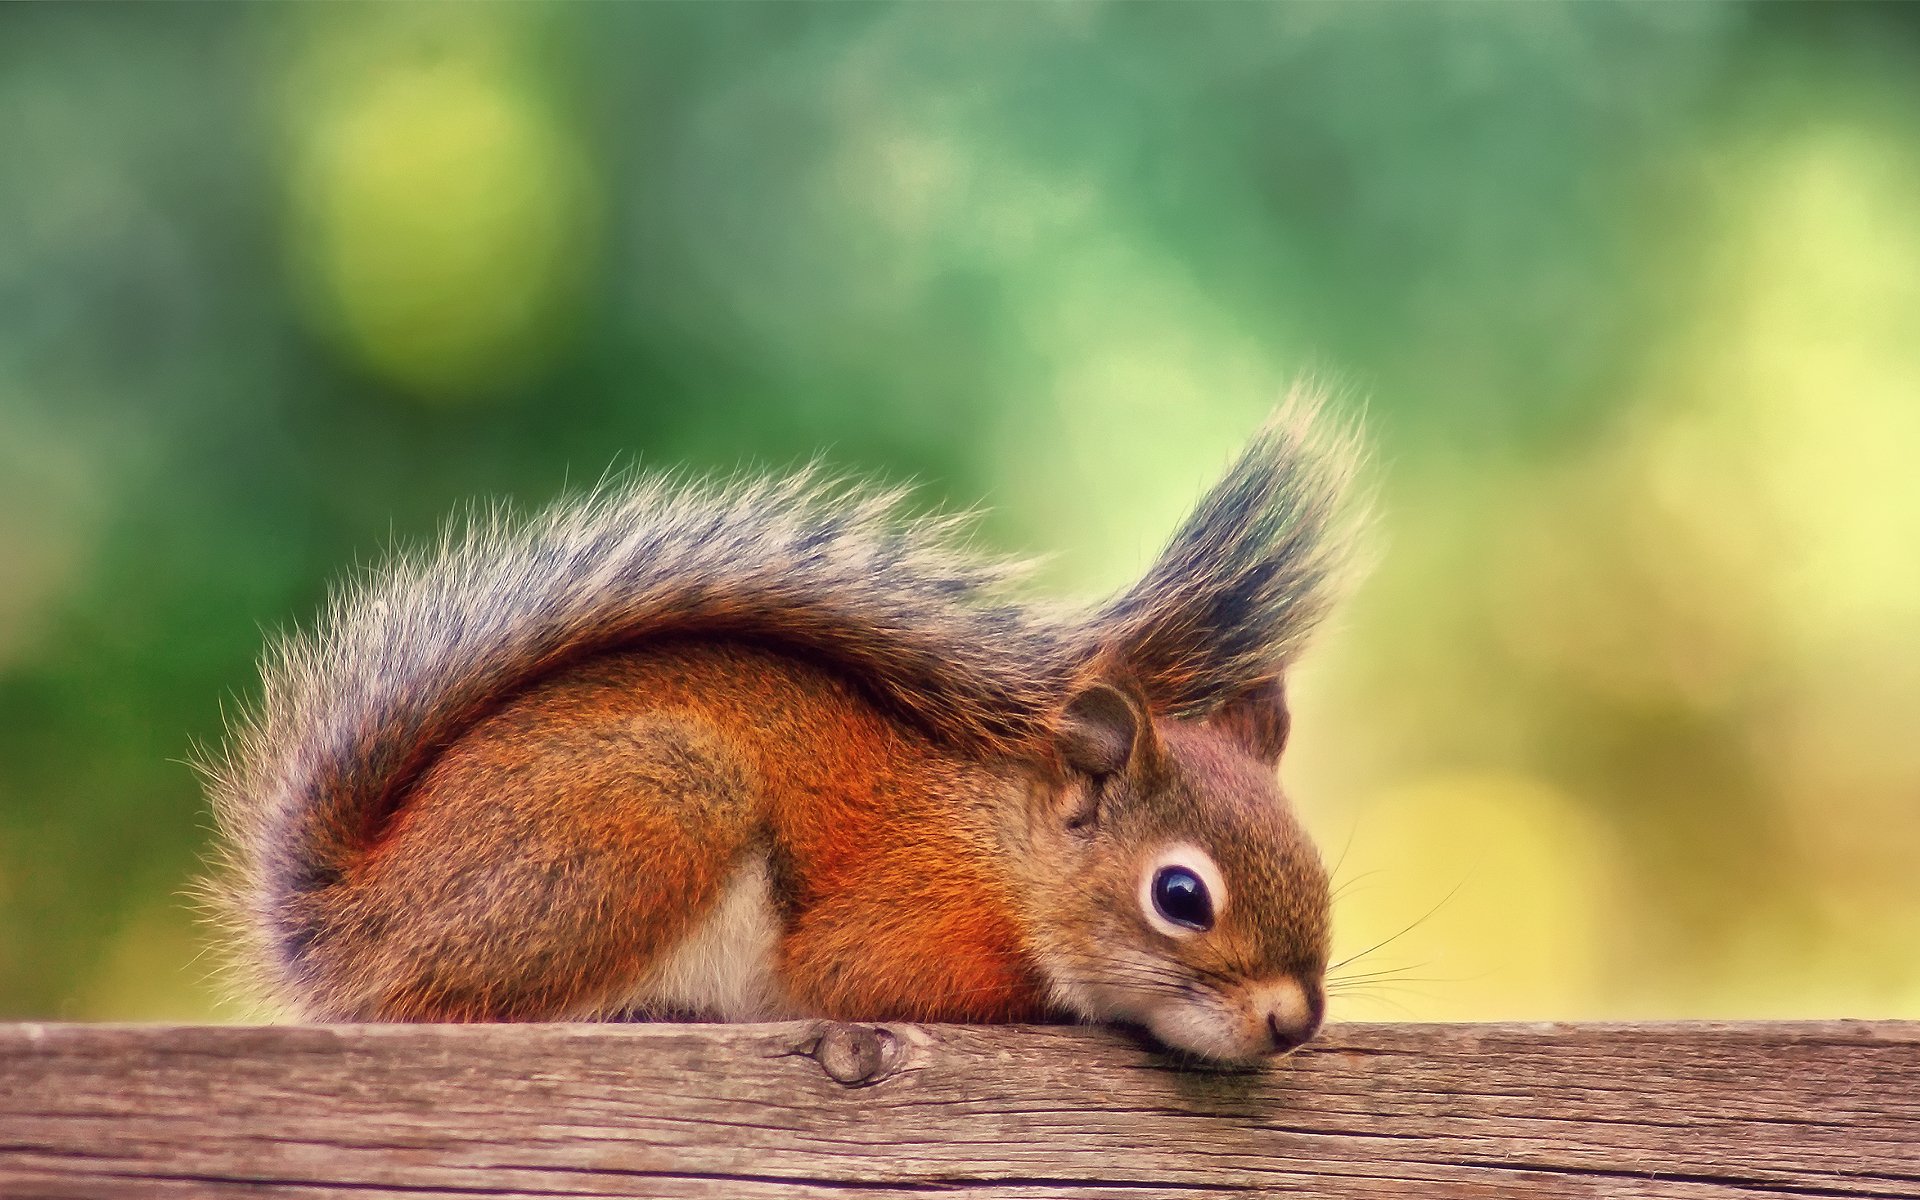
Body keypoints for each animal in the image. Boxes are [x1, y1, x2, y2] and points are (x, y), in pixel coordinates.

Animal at [202, 395, 1359, 1063]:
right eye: (1180, 896)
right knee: (442, 1003)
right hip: (643, 817)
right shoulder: (899, 934)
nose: (1293, 1021)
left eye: (1317, 869)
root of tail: (354, 917)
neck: (1003, 860)